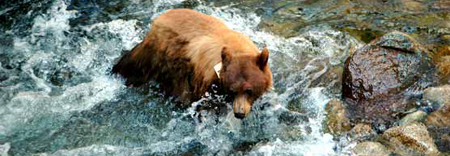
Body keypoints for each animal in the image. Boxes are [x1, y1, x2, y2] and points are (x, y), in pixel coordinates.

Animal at [111, 8, 274, 118]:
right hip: (157, 58)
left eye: (249, 90)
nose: (239, 113)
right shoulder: (204, 82)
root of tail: (155, 22)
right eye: (232, 90)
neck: (237, 49)